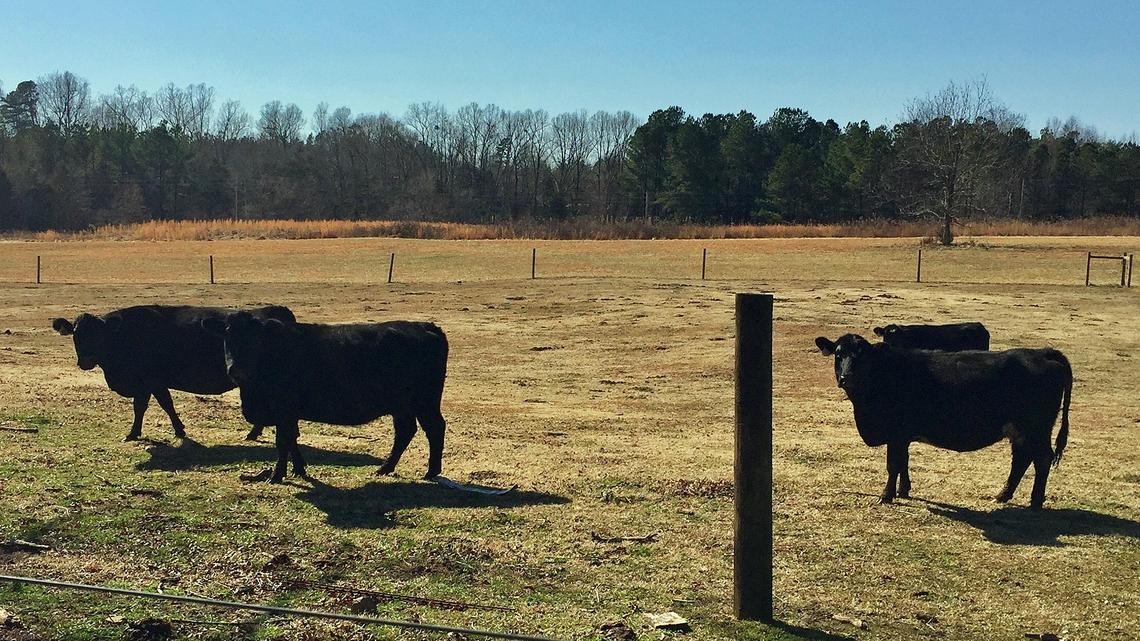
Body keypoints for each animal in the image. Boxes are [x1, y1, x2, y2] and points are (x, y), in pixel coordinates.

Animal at [52, 305, 295, 441]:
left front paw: (133, 433)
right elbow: (165, 404)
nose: (86, 360)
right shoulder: (156, 383)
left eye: (99, 335)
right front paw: (178, 430)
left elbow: (144, 406)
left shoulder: (147, 382)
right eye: (76, 335)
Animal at [202, 312, 449, 484]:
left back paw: (431, 470)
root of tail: (426, 326)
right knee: (405, 432)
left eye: (256, 339)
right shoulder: (288, 414)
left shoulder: (284, 409)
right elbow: (292, 439)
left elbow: (283, 441)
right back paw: (385, 468)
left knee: (435, 428)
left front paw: (277, 475)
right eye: (227, 335)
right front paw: (299, 469)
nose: (237, 370)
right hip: (402, 406)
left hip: (425, 402)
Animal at [814, 334, 1071, 509]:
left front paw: (886, 495)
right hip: (1020, 431)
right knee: (1021, 459)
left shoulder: (896, 433)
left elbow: (893, 464)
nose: (846, 377)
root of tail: (1042, 352)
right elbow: (904, 462)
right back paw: (1002, 495)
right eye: (838, 354)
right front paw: (903, 490)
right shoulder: (903, 435)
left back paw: (1035, 502)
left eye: (862, 356)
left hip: (1036, 428)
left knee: (1042, 459)